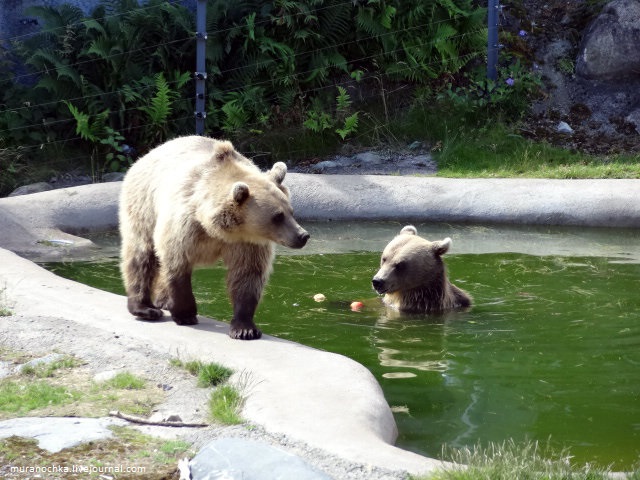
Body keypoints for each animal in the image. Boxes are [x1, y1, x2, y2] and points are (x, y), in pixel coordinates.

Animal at [121, 135, 312, 340]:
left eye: (291, 211)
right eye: (277, 216)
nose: (303, 235)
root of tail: (148, 154)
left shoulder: (247, 243)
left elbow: (248, 275)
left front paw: (245, 328)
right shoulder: (184, 227)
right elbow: (177, 263)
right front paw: (186, 314)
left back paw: (162, 301)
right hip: (144, 205)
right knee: (142, 255)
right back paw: (145, 308)